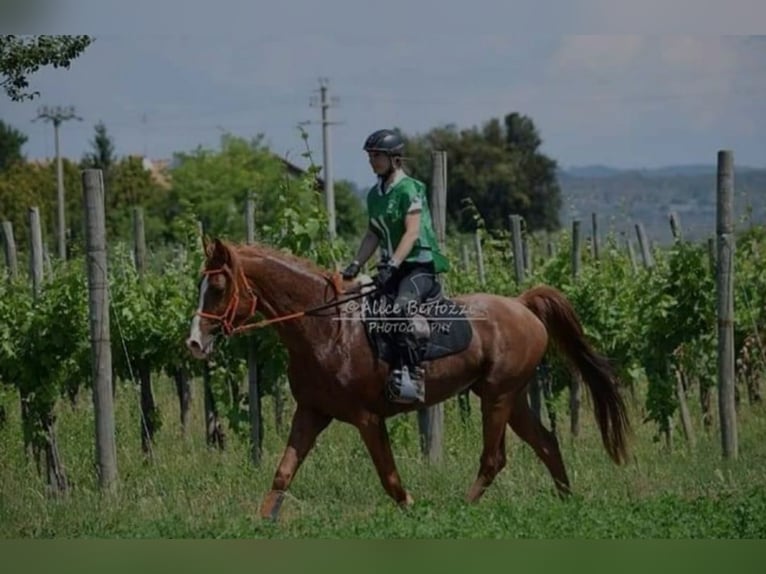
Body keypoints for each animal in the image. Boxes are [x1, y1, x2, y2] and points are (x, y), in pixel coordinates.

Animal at [184, 238, 632, 520]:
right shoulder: (311, 412)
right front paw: (262, 520)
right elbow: (283, 471)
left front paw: (413, 508)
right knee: (546, 442)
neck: (327, 328)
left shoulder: (366, 418)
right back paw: (567, 501)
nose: (194, 343)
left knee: (494, 458)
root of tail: (522, 305)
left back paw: (464, 508)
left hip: (497, 397)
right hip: (512, 397)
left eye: (218, 286)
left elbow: (389, 475)